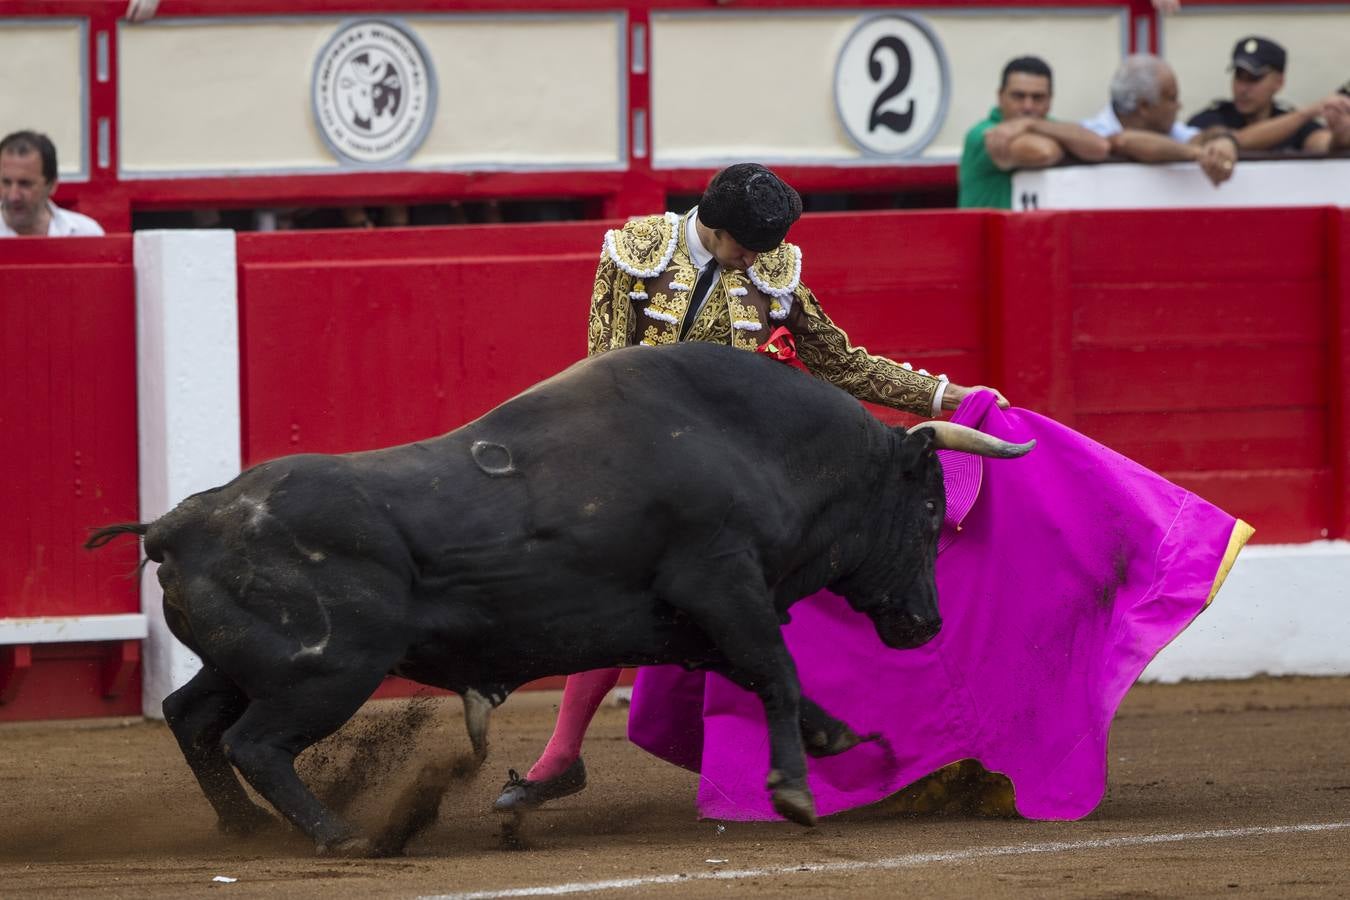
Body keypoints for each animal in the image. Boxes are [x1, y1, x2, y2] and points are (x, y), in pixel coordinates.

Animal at [87, 341, 1031, 858]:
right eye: (929, 511)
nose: (926, 622)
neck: (756, 445)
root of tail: (179, 521)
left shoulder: (693, 621)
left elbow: (774, 678)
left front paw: (837, 742)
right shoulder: (723, 584)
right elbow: (776, 669)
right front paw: (795, 791)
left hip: (256, 663)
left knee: (192, 717)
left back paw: (246, 831)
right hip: (330, 669)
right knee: (254, 741)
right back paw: (338, 835)